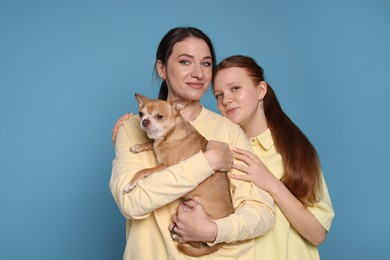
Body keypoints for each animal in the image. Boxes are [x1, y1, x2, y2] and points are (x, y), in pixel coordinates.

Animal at [125, 93, 233, 256]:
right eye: (141, 113)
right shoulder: (157, 145)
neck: (169, 134)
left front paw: (130, 184)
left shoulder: (165, 166)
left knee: (199, 243)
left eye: (159, 116)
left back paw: (179, 236)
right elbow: (151, 142)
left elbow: (142, 171)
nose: (144, 121)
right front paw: (139, 146)